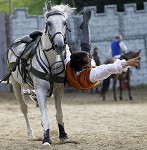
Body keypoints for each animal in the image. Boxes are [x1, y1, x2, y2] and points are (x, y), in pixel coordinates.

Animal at [6, 1, 74, 146]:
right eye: (48, 23)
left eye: (65, 22)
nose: (59, 46)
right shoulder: (41, 90)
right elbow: (45, 116)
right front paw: (46, 138)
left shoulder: (59, 90)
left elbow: (59, 114)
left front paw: (63, 135)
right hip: (15, 84)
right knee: (24, 108)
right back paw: (31, 134)